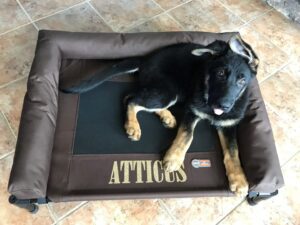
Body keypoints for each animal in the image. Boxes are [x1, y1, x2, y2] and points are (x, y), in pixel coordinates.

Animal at [62, 35, 258, 195]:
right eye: (220, 74)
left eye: (242, 81)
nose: (223, 106)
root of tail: (146, 59)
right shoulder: (191, 110)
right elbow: (187, 135)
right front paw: (174, 158)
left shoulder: (229, 125)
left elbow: (233, 151)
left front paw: (239, 179)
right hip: (169, 90)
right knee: (131, 99)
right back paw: (133, 126)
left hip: (168, 92)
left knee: (136, 98)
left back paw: (167, 117)